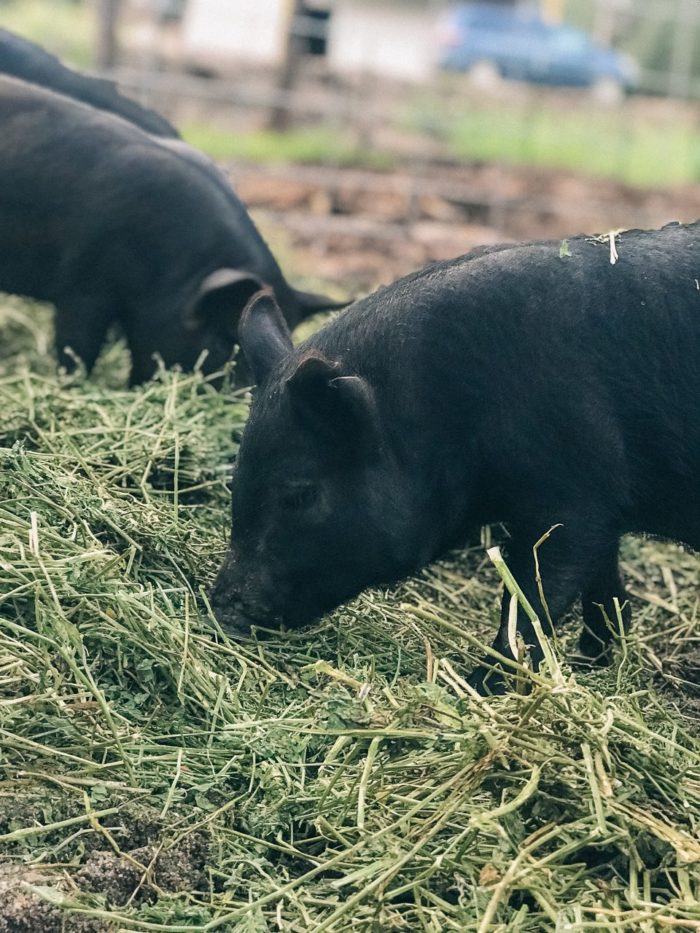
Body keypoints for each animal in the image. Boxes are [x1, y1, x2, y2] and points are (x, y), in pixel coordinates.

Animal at [211, 222, 700, 692]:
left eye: (298, 495)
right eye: (236, 480)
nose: (221, 613)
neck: (441, 409)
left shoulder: (572, 498)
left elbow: (530, 598)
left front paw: (477, 688)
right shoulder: (604, 508)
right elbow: (605, 587)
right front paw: (592, 661)